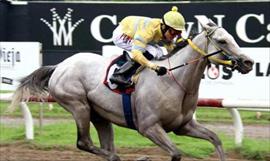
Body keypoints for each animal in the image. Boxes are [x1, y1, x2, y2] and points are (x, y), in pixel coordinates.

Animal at [8, 18, 253, 160]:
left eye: (231, 37)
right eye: (222, 41)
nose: (249, 62)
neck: (174, 80)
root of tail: (60, 66)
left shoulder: (183, 126)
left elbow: (216, 139)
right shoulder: (149, 127)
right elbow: (175, 153)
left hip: (99, 115)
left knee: (105, 144)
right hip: (79, 106)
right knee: (85, 143)